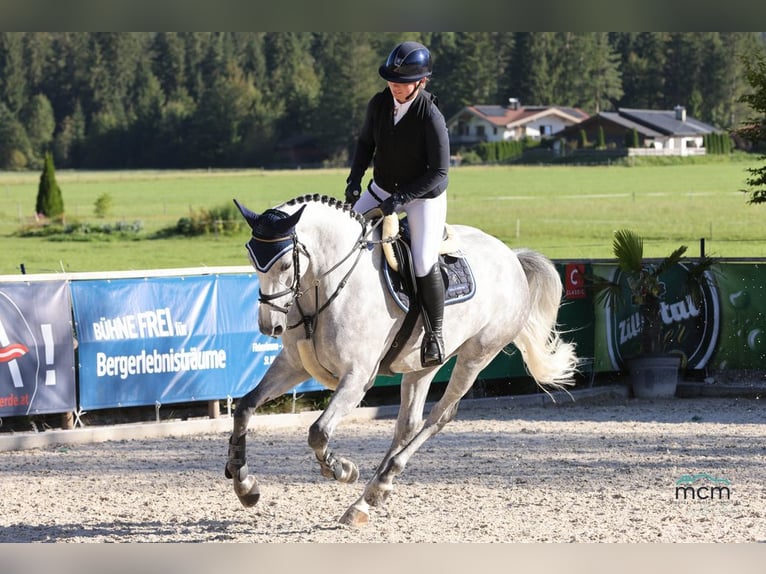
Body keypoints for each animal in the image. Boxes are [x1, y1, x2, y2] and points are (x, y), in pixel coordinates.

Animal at [225, 196, 580, 528]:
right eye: (251, 259)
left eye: (286, 264)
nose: (269, 326)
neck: (326, 286)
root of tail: (511, 257)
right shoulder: (293, 365)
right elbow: (244, 407)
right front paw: (244, 484)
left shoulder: (357, 378)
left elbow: (318, 432)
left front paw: (343, 469)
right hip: (422, 364)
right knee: (407, 424)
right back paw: (370, 496)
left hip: (476, 355)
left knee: (439, 416)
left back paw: (376, 486)